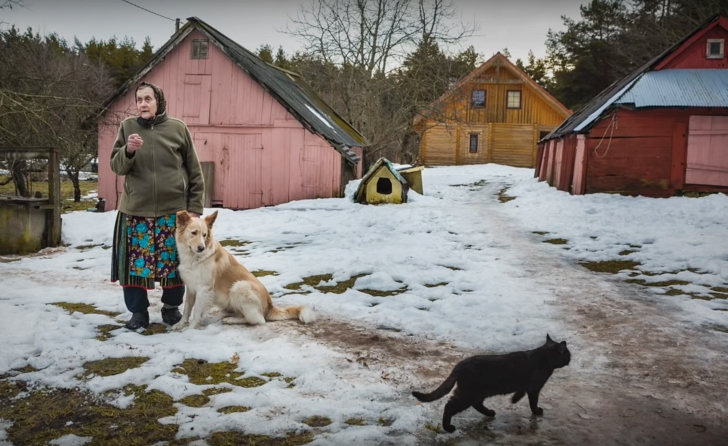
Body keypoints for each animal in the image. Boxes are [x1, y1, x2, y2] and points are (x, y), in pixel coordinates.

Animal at [175, 210, 318, 332]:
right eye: (194, 233)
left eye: (204, 235)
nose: (201, 248)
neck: (193, 258)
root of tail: (270, 306)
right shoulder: (191, 288)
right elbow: (187, 309)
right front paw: (181, 324)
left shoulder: (204, 289)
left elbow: (196, 313)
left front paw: (190, 329)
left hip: (240, 286)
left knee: (258, 320)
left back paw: (231, 320)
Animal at [412, 334, 572, 432]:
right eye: (568, 353)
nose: (570, 358)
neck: (543, 357)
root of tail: (461, 364)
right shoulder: (534, 388)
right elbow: (533, 402)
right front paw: (537, 411)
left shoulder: (526, 386)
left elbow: (520, 392)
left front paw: (514, 400)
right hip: (468, 394)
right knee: (450, 406)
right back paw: (449, 427)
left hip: (478, 392)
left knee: (476, 404)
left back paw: (490, 413)